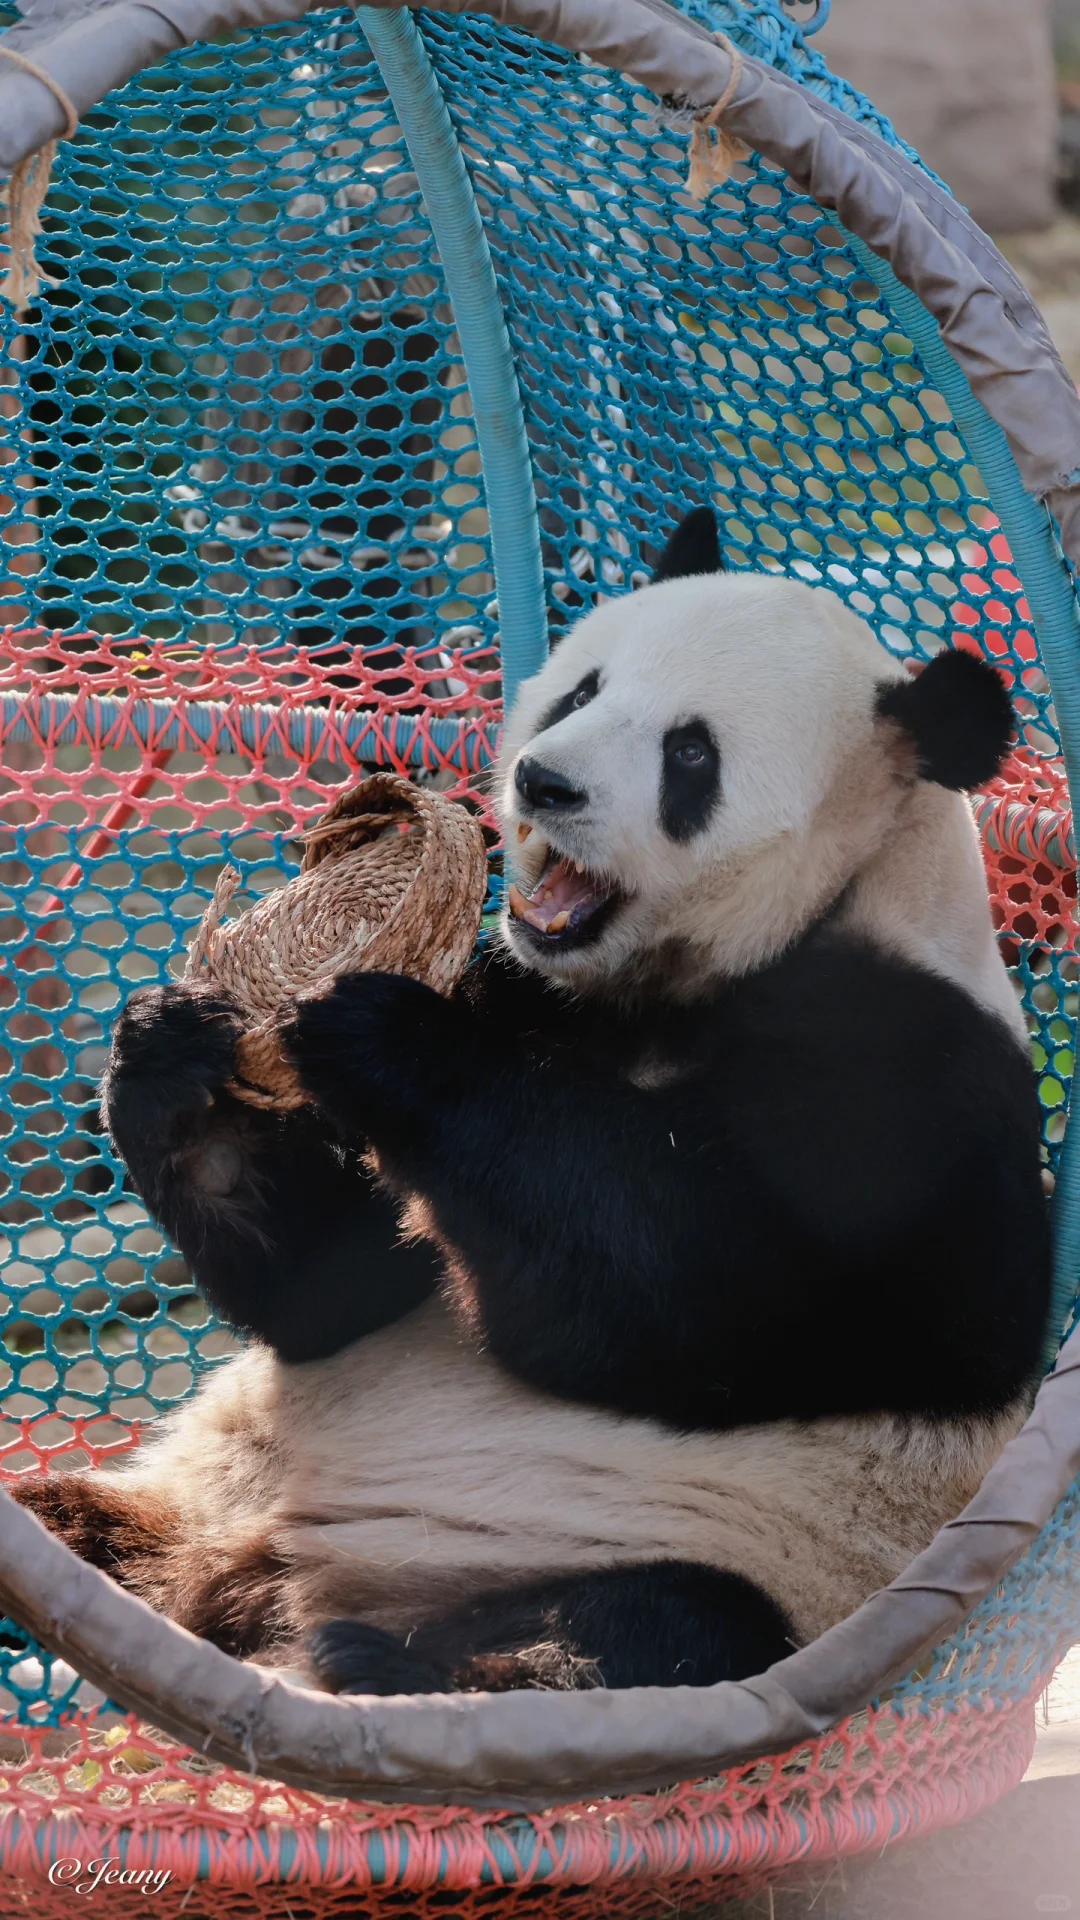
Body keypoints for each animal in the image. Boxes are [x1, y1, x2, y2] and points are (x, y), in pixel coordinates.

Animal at [12, 510, 1045, 1697]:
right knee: (75, 1518)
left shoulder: (910, 1077)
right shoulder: (525, 988)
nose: (544, 783)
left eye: (691, 754)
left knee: (669, 1626)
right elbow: (337, 1292)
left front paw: (392, 1037)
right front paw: (177, 1064)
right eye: (582, 690)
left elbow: (684, 1298)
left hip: (728, 1555)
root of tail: (233, 1587)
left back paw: (391, 1662)